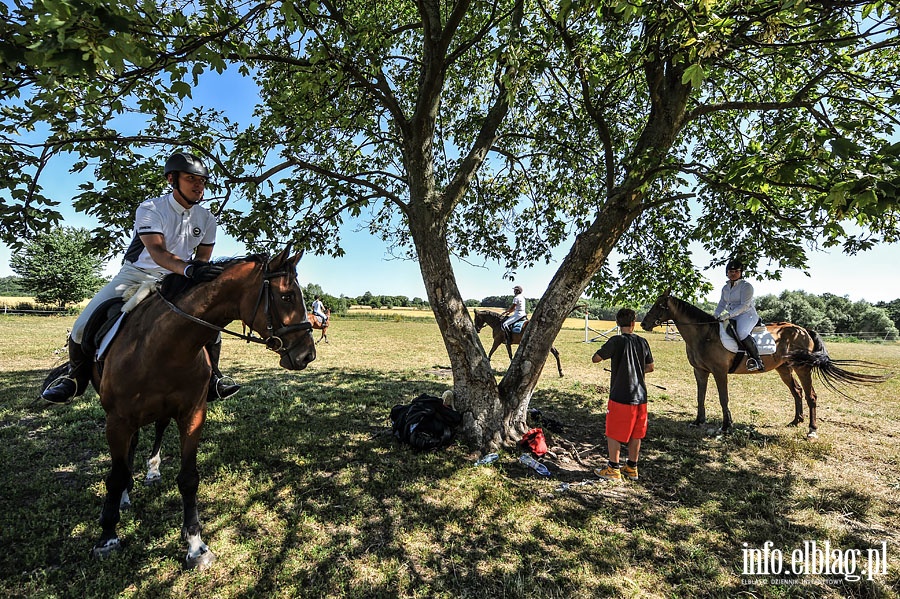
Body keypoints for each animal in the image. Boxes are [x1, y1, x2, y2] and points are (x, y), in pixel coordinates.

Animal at [49, 246, 318, 568]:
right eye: (287, 296)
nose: (307, 355)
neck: (166, 345)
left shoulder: (192, 415)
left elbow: (189, 479)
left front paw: (195, 545)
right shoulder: (118, 420)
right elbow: (115, 477)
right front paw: (107, 537)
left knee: (156, 430)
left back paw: (151, 471)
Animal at [644, 292, 888, 438]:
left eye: (660, 305)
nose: (645, 324)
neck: (705, 334)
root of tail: (803, 329)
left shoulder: (720, 372)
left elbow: (723, 398)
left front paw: (726, 426)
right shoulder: (700, 371)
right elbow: (700, 396)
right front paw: (698, 421)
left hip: (802, 368)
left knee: (811, 396)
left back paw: (811, 430)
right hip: (784, 368)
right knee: (797, 392)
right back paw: (796, 421)